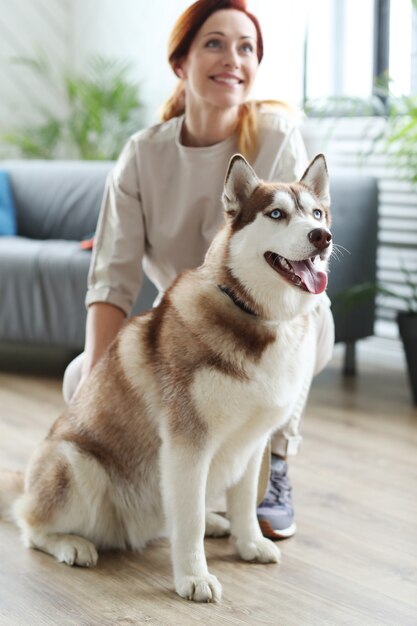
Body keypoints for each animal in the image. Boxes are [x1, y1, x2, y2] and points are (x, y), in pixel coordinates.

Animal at [0, 152, 332, 600]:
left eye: (316, 213)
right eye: (277, 214)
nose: (322, 236)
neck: (256, 315)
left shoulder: (252, 443)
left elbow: (244, 504)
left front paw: (248, 543)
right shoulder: (186, 445)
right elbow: (188, 521)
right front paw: (193, 577)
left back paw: (216, 522)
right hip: (78, 464)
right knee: (30, 523)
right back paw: (70, 543)